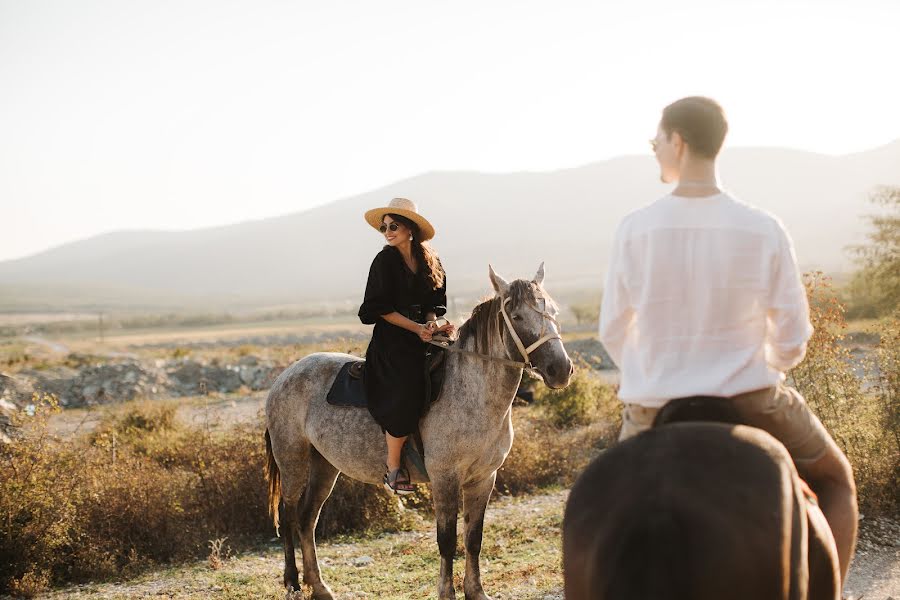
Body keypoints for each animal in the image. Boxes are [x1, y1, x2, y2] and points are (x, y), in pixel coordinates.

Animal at [266, 266, 568, 600]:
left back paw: (319, 586)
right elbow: (447, 540)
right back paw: (293, 582)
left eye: (554, 311)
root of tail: (285, 376)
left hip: (324, 465)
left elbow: (474, 538)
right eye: (516, 316)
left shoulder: (483, 479)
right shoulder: (445, 478)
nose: (560, 369)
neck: (472, 391)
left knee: (308, 519)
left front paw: (476, 591)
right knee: (289, 515)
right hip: (292, 459)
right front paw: (447, 592)